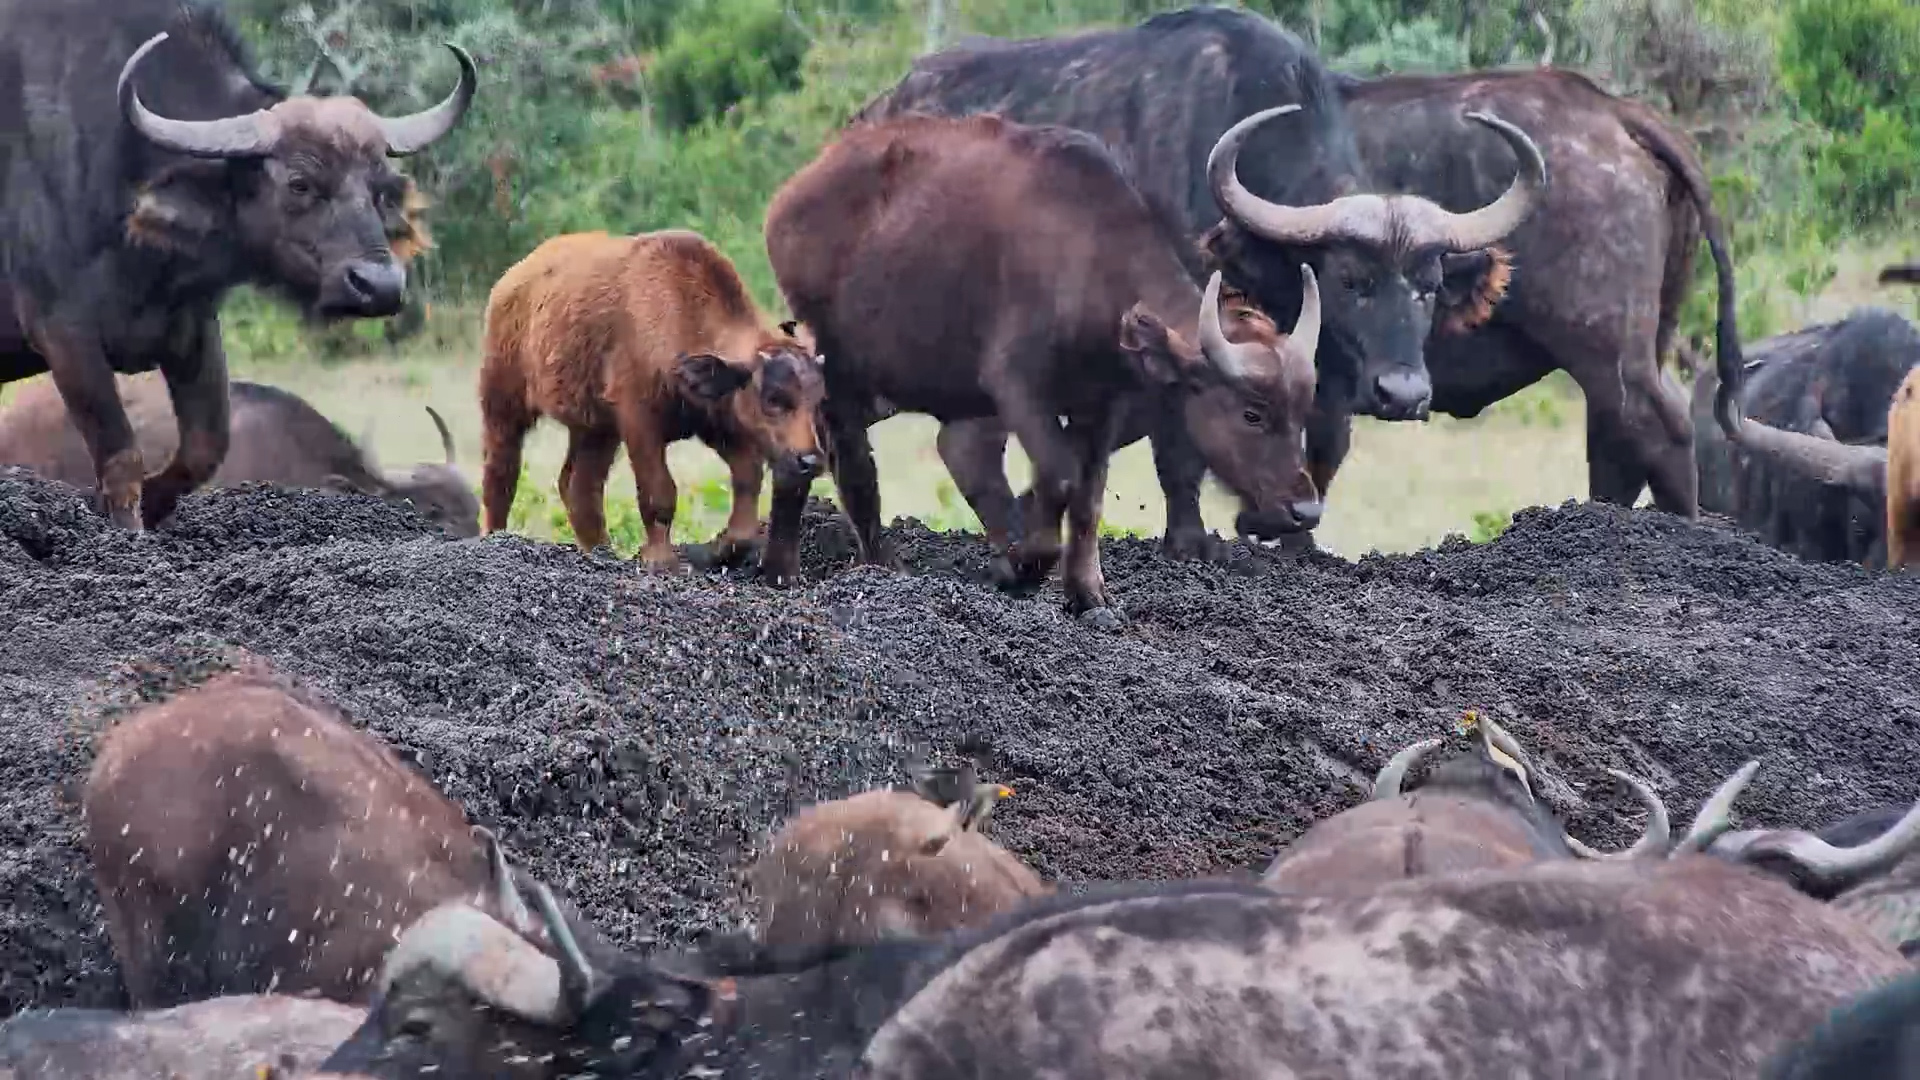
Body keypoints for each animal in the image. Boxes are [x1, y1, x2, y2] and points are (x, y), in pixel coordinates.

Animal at [478, 229, 827, 580]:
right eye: (772, 399)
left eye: (816, 399)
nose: (810, 460)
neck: (681, 315)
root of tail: (511, 280)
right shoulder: (640, 423)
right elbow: (659, 493)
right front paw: (661, 560)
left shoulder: (718, 424)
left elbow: (747, 480)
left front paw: (721, 549)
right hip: (503, 404)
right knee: (501, 475)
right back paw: (495, 537)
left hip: (595, 429)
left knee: (578, 486)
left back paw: (602, 553)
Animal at [762, 112, 1323, 611]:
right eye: (1251, 412)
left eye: (1302, 412)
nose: (1306, 508)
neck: (1093, 267)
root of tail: (790, 198)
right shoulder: (1016, 387)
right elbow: (1059, 474)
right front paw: (1024, 566)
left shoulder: (1101, 405)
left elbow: (1089, 496)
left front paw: (1089, 594)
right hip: (838, 364)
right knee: (851, 457)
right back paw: (876, 565)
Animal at [855, 6, 1549, 558]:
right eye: (1351, 279)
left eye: (1428, 285)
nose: (1404, 394)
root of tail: (880, 109)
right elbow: (1179, 444)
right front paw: (1192, 539)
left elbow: (1324, 441)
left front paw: (1294, 536)